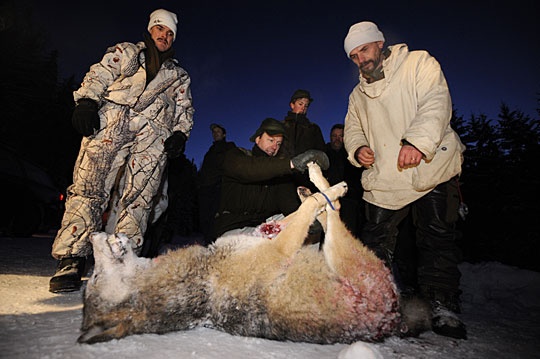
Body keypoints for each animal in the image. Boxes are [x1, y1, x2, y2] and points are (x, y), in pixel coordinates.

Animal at [78, 165, 430, 344]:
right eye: (93, 277)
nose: (93, 234)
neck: (197, 281)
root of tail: (394, 319)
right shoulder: (278, 248)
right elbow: (308, 212)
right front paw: (322, 192)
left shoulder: (261, 237)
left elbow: (287, 218)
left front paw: (306, 195)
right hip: (338, 252)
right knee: (335, 213)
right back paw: (326, 185)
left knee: (326, 213)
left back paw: (311, 184)